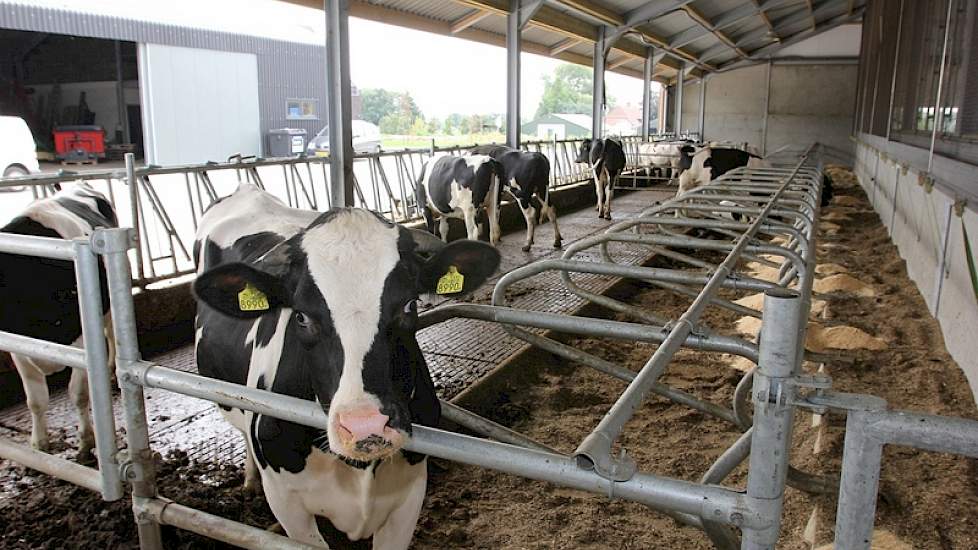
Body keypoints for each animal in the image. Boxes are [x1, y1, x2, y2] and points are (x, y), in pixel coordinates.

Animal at [0, 185, 117, 462]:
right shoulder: (19, 348)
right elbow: (35, 400)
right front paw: (39, 444)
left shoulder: (83, 342)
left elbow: (79, 393)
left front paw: (86, 441)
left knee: (112, 334)